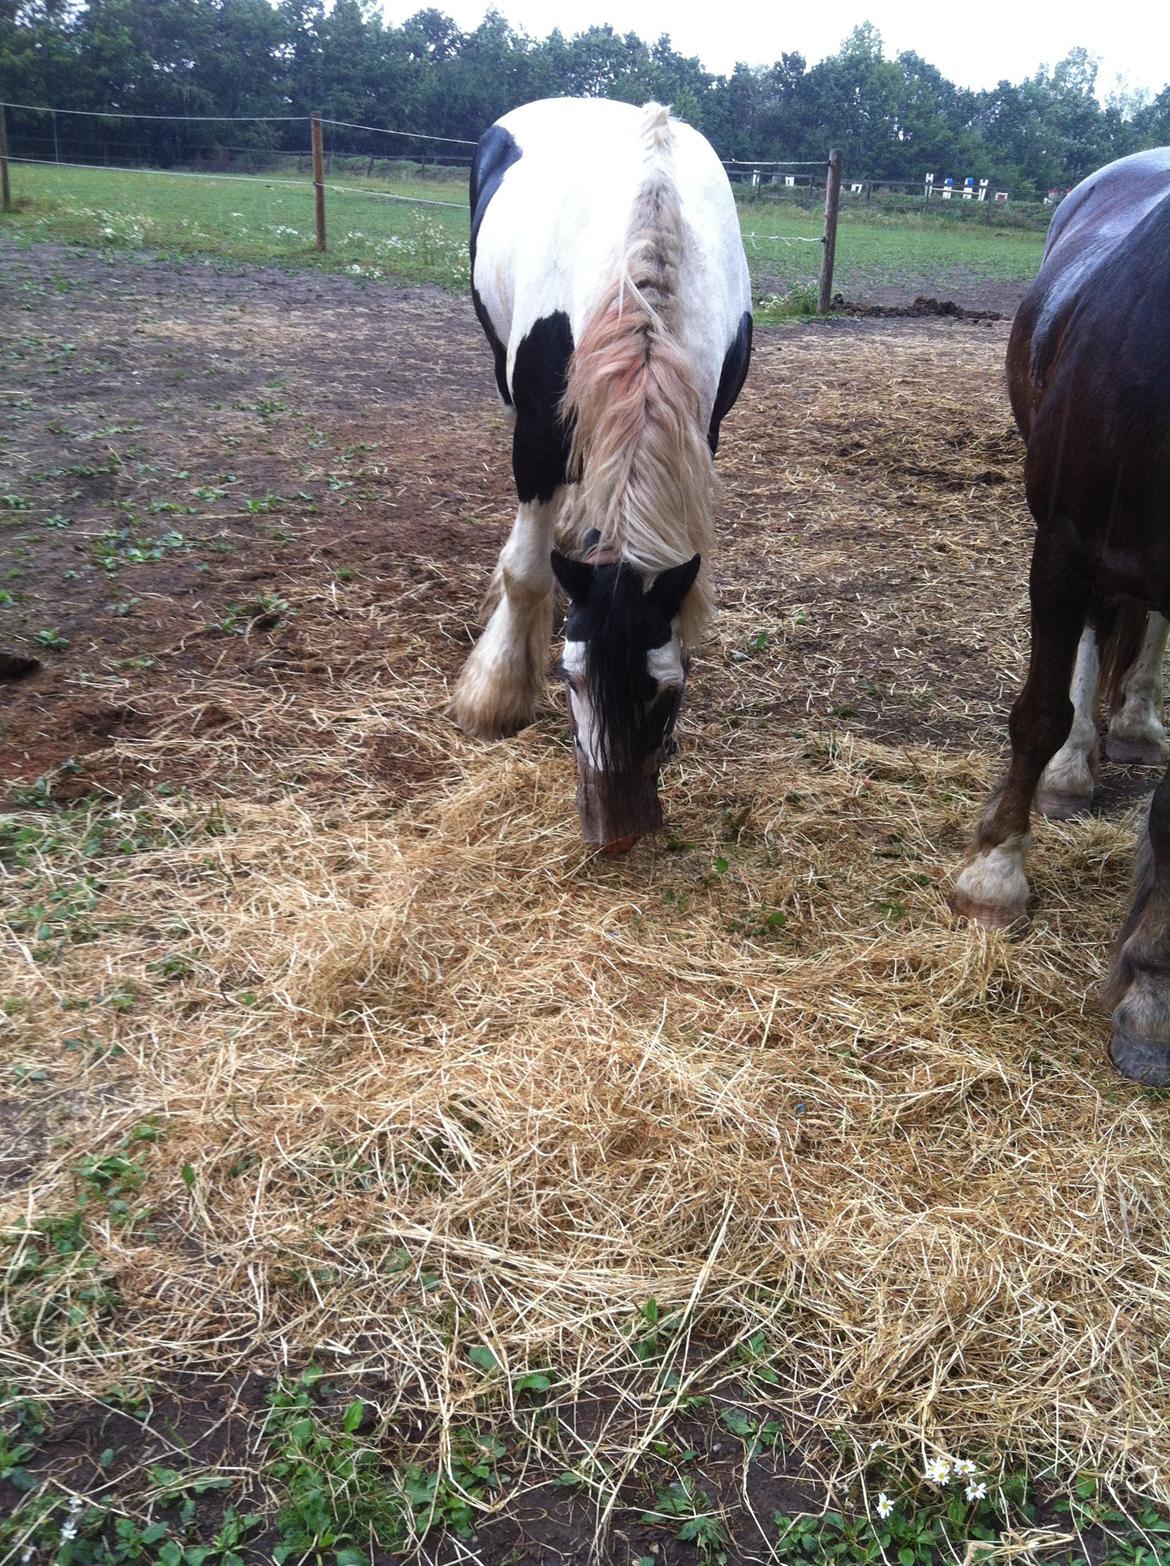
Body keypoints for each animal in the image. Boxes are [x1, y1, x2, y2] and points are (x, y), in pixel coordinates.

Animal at [447, 94, 751, 858]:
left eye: (669, 688)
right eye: (571, 679)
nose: (619, 834)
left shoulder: (703, 428)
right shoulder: (535, 433)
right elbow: (525, 569)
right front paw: (497, 692)